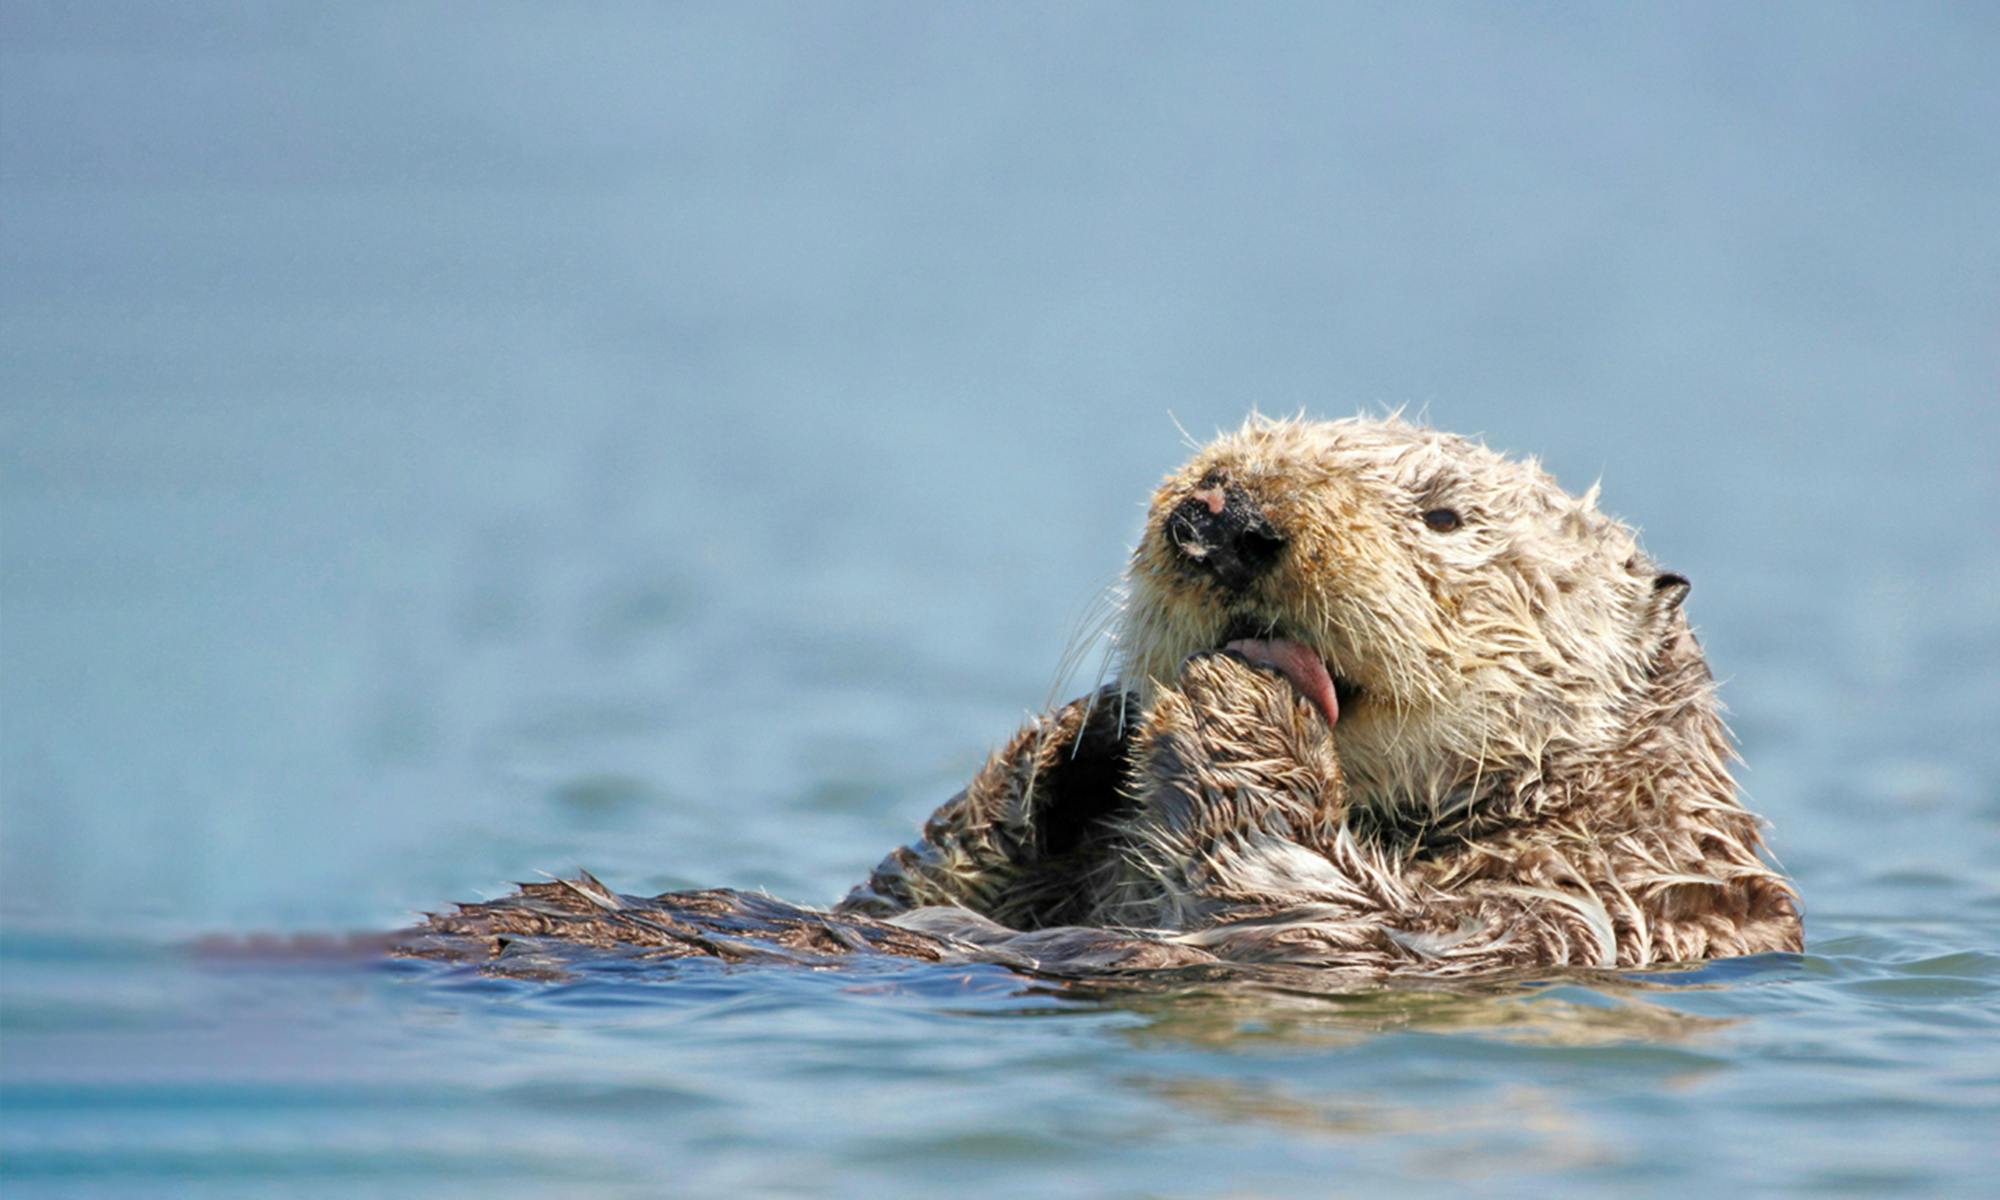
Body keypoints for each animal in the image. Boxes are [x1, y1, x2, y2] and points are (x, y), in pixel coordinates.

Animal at [401, 415, 1800, 976]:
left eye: (1445, 516)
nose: (1220, 517)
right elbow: (907, 883)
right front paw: (1078, 740)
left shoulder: (1544, 916)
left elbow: (1303, 899)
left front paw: (1238, 699)